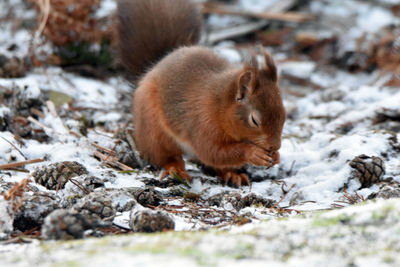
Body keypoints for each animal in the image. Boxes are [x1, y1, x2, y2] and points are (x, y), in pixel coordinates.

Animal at [117, 0, 286, 186]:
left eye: (283, 115)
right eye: (254, 120)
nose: (275, 146)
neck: (220, 105)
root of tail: (154, 66)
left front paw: (276, 157)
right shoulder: (202, 122)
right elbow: (211, 151)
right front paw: (253, 153)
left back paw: (232, 174)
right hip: (154, 129)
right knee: (165, 155)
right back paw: (175, 169)